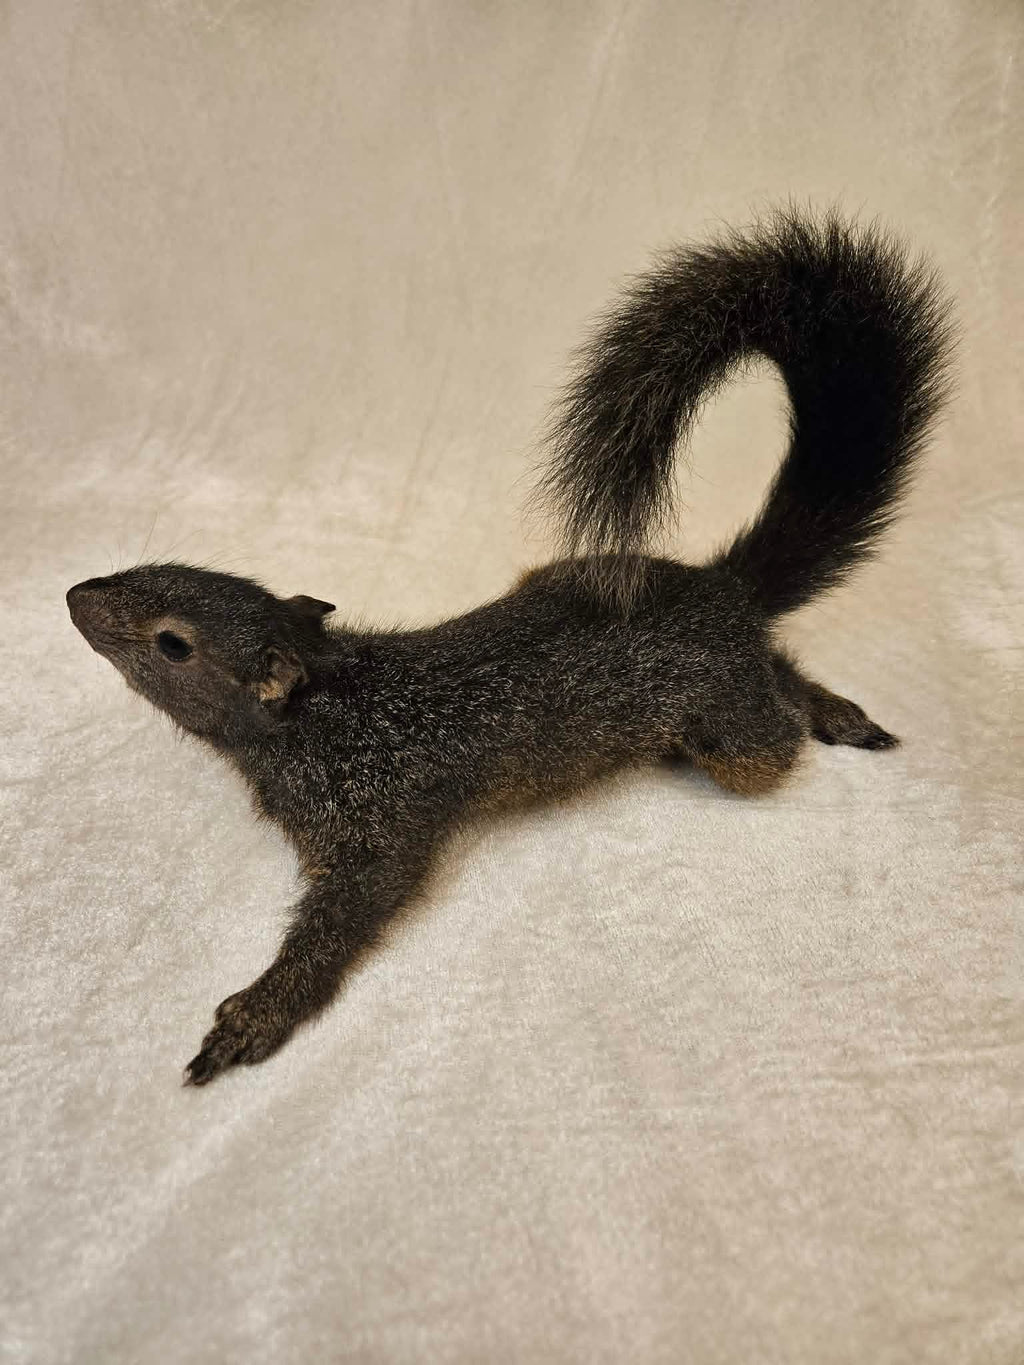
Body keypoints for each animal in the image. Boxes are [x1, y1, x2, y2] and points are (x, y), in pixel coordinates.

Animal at [67, 208, 952, 1086]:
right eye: (163, 568)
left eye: (172, 644)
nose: (77, 597)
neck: (322, 711)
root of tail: (722, 590)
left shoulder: (379, 819)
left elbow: (346, 917)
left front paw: (255, 1013)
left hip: (731, 733)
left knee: (773, 703)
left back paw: (827, 708)